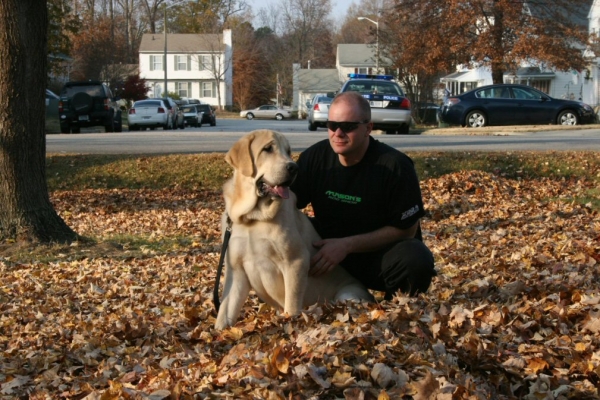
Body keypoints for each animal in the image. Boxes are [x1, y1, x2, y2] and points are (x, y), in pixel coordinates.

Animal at [213, 130, 372, 330]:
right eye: (267, 149)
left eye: (288, 151)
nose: (293, 168)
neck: (253, 218)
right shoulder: (236, 270)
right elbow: (225, 309)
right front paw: (218, 332)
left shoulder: (295, 261)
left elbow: (292, 304)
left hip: (348, 295)